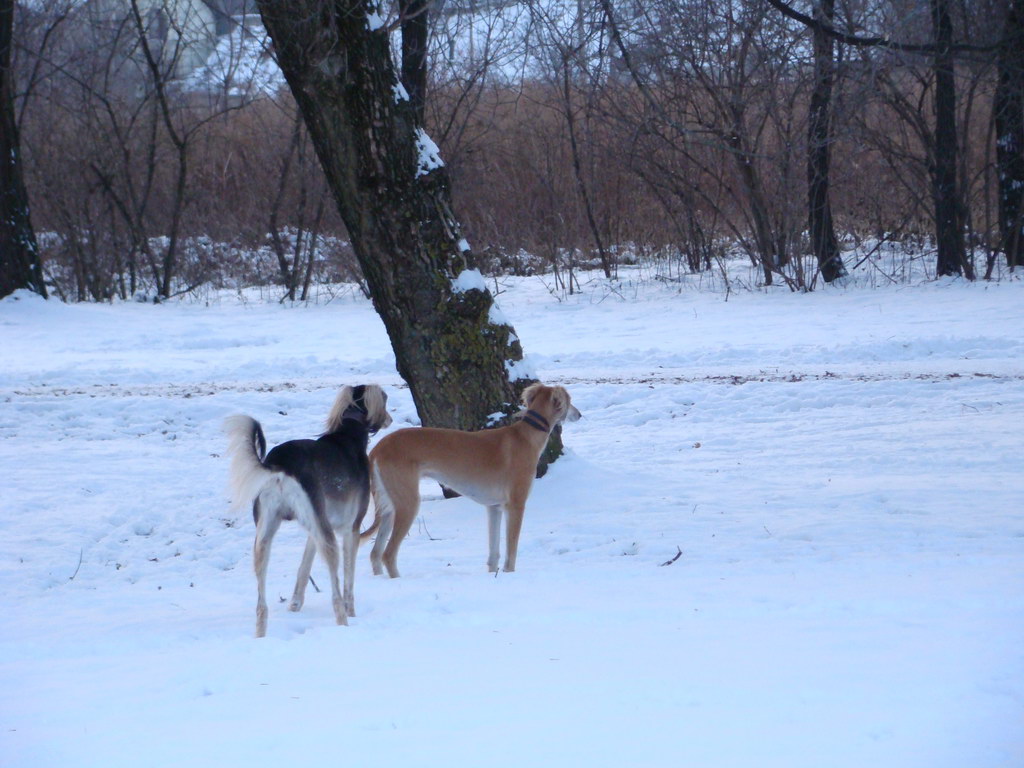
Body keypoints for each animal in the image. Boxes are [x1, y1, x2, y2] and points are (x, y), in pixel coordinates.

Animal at [224, 387, 391, 638]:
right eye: (386, 400)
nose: (390, 419)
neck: (348, 434)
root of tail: (280, 463)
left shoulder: (317, 527)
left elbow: (304, 567)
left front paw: (295, 604)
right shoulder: (350, 528)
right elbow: (348, 579)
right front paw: (352, 611)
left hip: (267, 535)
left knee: (261, 603)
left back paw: (261, 635)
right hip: (328, 539)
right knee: (336, 592)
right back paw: (343, 622)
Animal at [364, 385, 581, 577]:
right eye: (570, 400)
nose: (579, 415)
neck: (526, 435)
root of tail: (378, 448)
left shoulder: (494, 507)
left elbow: (494, 553)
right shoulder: (516, 505)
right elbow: (511, 551)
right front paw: (510, 575)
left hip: (389, 507)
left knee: (375, 553)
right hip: (408, 503)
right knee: (387, 554)